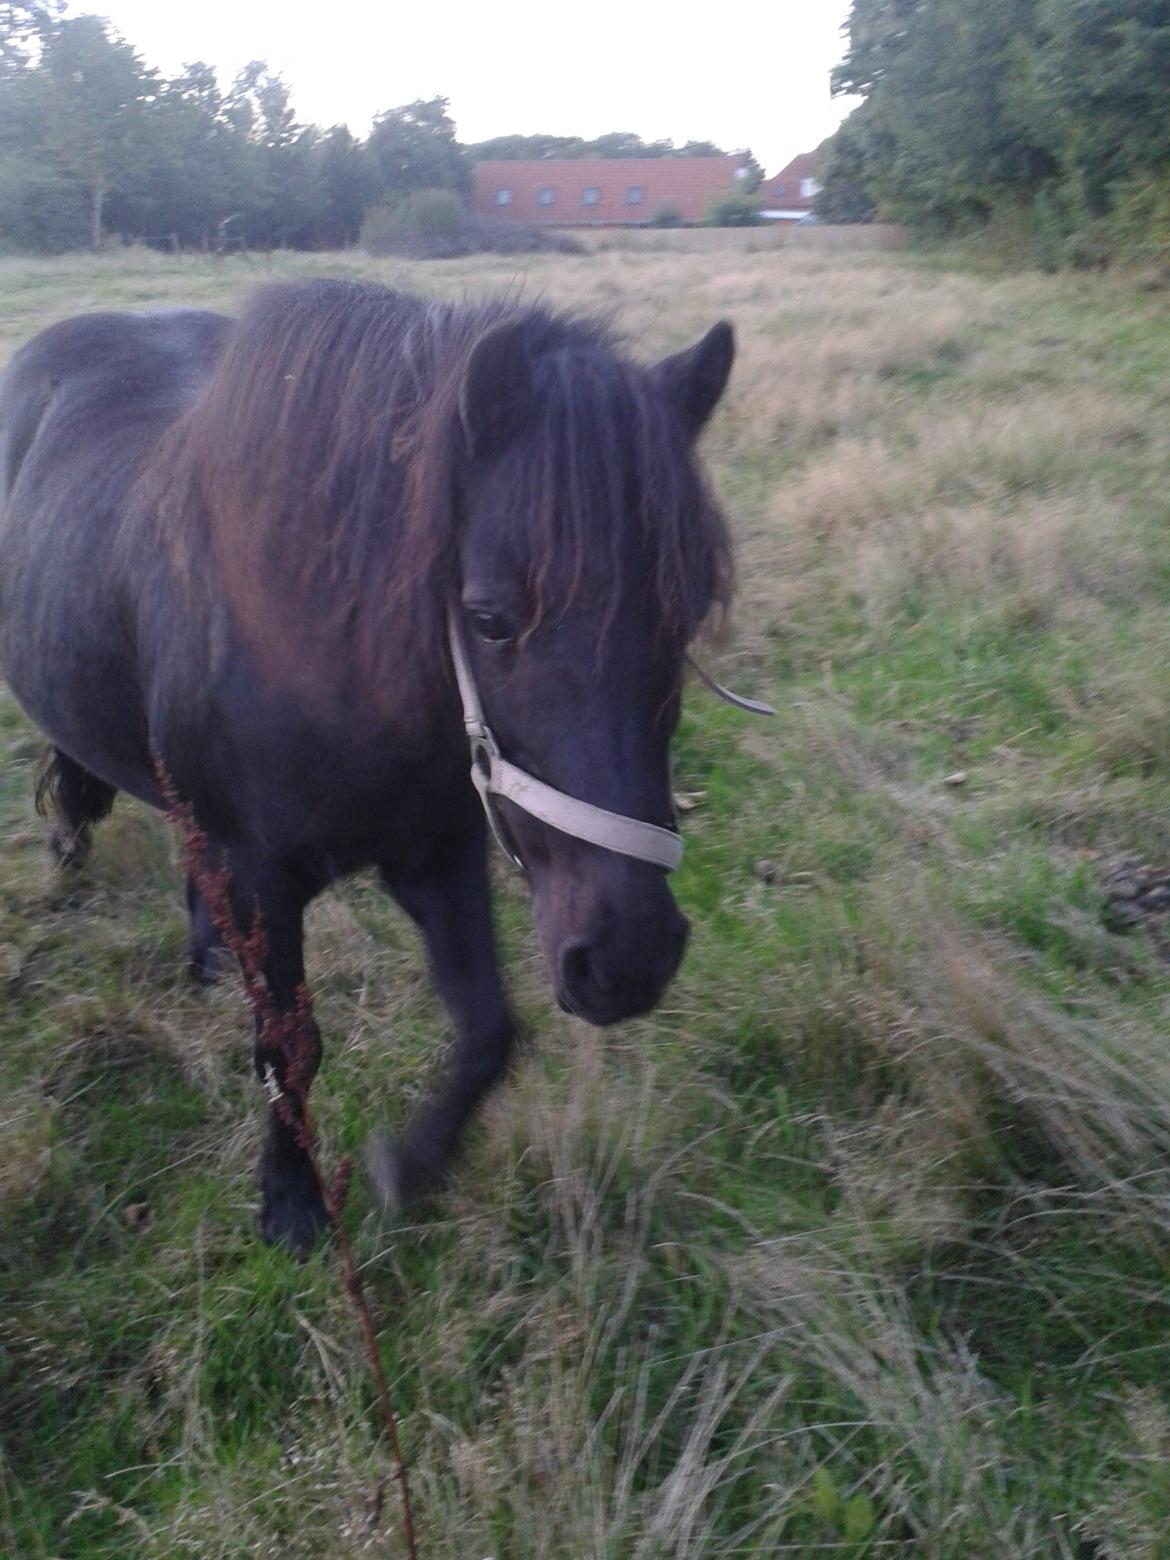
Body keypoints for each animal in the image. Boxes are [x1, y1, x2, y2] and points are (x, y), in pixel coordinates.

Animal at [0, 283, 733, 1254]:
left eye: (691, 609)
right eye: (489, 618)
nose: (629, 959)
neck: (319, 656)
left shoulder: (439, 853)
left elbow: (489, 1031)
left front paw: (408, 1163)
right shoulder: (261, 874)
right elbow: (290, 1046)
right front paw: (292, 1200)